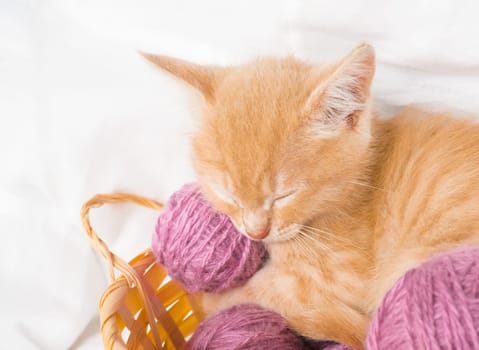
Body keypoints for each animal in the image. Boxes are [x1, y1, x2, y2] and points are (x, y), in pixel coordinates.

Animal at [144, 45, 479, 348]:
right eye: (230, 194)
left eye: (284, 195)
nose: (256, 232)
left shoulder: (337, 280)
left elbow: (257, 293)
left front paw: (204, 299)